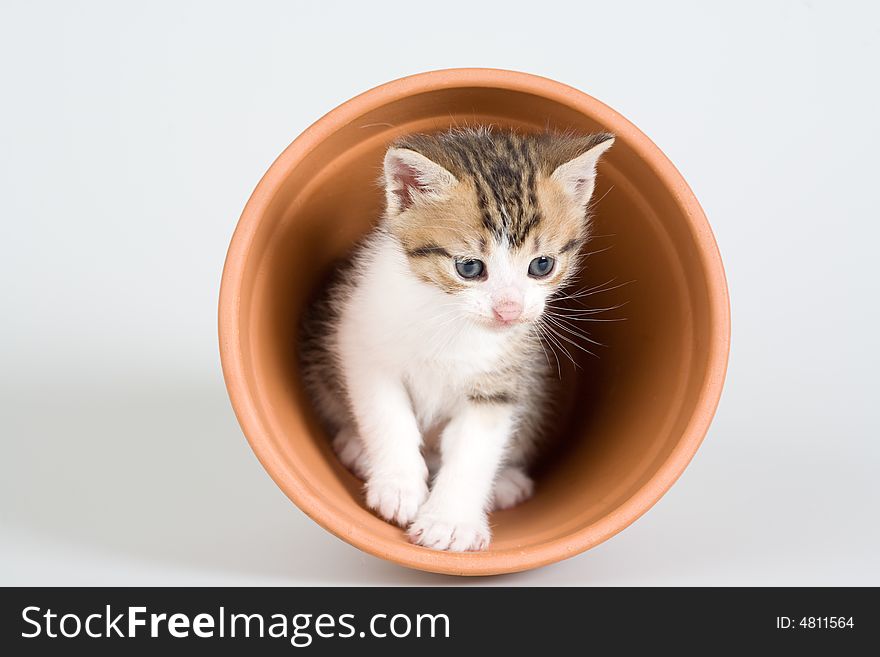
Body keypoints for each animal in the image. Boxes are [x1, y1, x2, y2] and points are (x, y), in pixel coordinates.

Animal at [300, 125, 616, 552]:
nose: (509, 310)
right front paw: (399, 487)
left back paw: (506, 483)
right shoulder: (360, 337)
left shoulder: (502, 380)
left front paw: (450, 523)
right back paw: (355, 448)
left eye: (542, 265)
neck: (452, 319)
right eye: (469, 268)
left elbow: (474, 450)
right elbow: (387, 414)